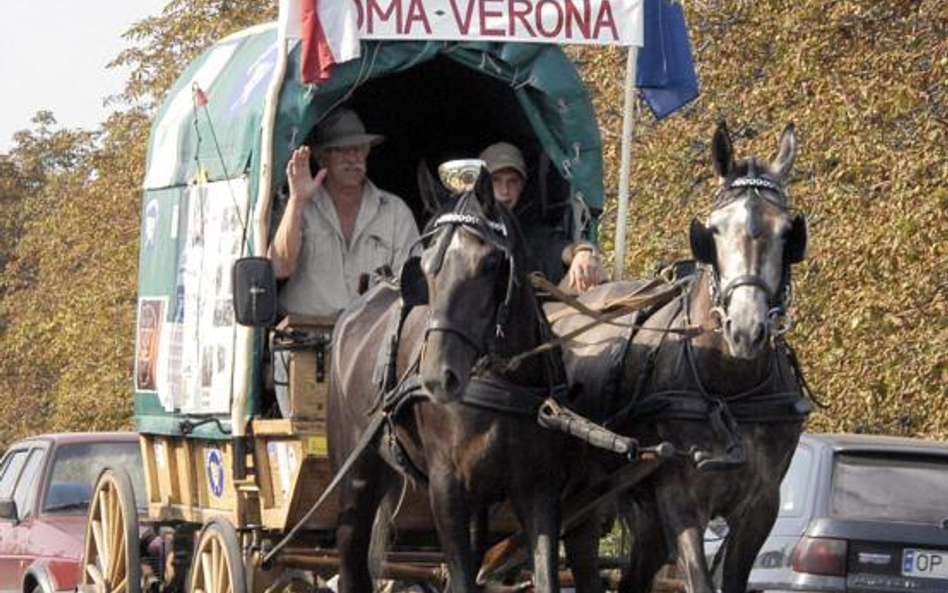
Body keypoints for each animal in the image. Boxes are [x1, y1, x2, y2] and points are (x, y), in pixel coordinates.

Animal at [330, 172, 572, 592]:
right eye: (425, 268)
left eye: (491, 262)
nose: (439, 376)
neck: (500, 383)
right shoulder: (447, 490)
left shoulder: (538, 490)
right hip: (355, 478)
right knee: (351, 560)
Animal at [556, 121, 816, 592]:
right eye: (713, 230)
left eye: (789, 232)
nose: (745, 329)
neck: (729, 389)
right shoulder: (679, 496)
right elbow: (699, 579)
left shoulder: (761, 505)